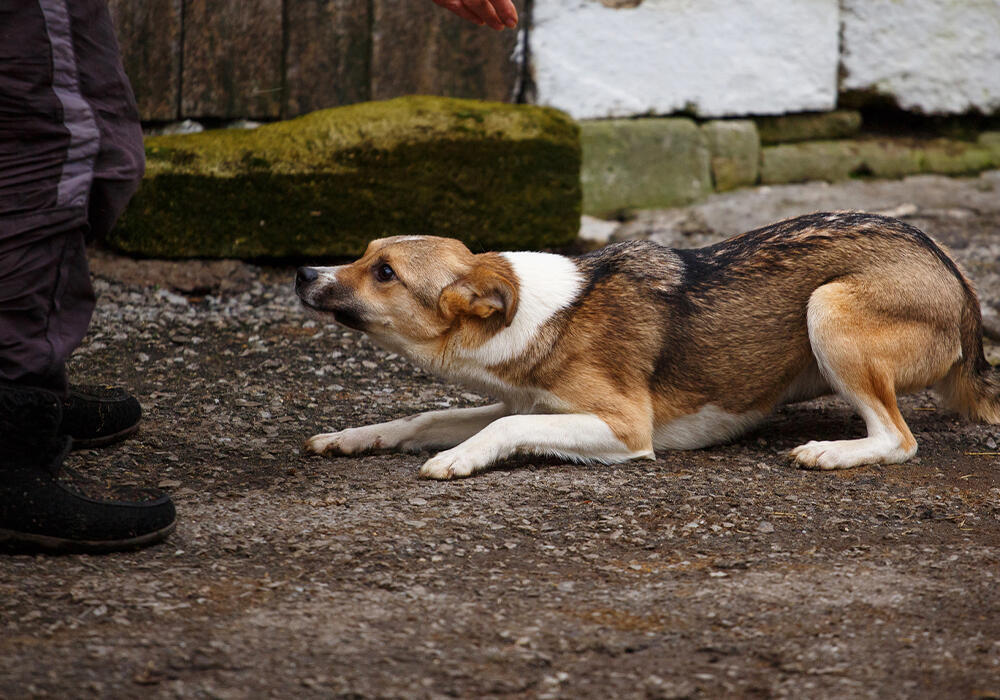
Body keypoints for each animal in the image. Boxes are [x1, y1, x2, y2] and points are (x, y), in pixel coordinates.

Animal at [296, 212, 1000, 482]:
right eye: (363, 253)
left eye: (385, 273)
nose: (302, 273)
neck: (543, 313)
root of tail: (965, 294)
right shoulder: (527, 402)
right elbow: (426, 417)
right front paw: (352, 438)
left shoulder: (625, 427)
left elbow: (501, 429)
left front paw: (458, 460)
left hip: (827, 308)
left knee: (899, 440)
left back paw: (832, 450)